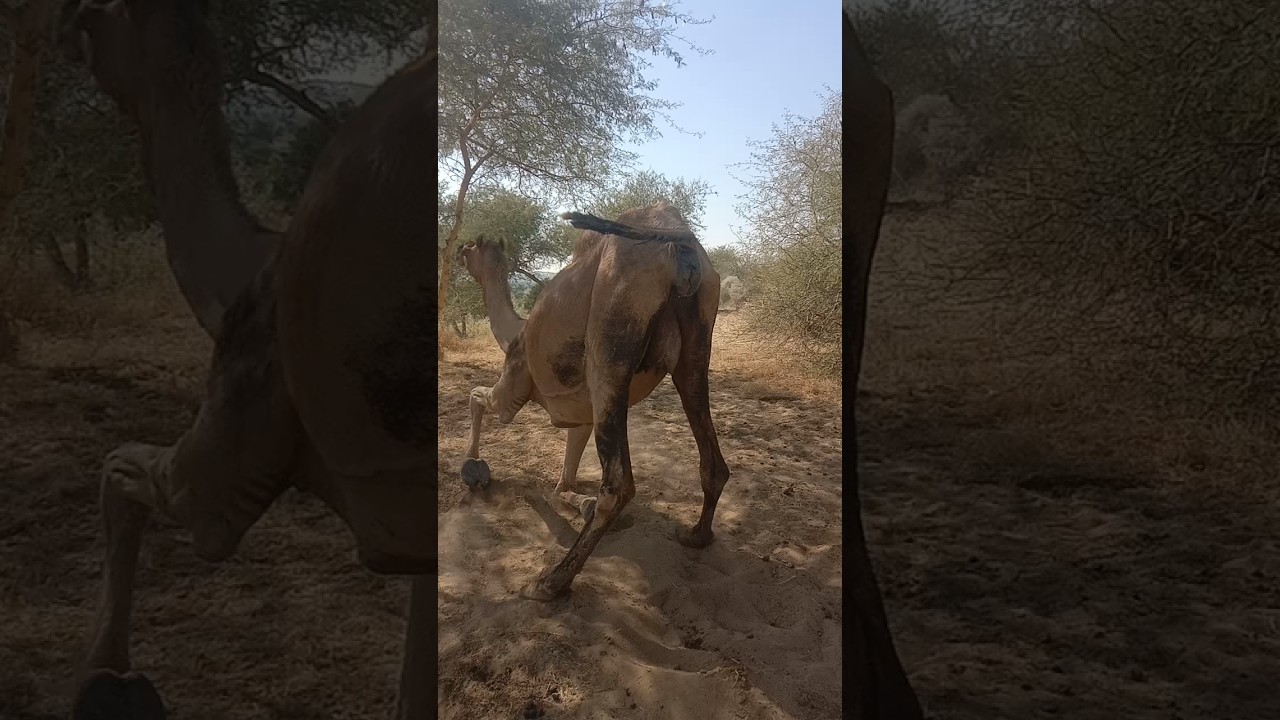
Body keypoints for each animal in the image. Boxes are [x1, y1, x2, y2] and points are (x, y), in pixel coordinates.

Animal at [58, 1, 433, 718]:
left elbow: (126, 476)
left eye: (103, 16)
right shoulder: (413, 524)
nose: (72, 31)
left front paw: (107, 679)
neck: (252, 269)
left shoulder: (234, 440)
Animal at [457, 201, 730, 601]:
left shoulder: (512, 384)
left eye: (470, 249)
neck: (515, 332)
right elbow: (564, 481)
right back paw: (696, 535)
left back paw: (552, 582)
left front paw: (472, 467)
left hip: (610, 342)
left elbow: (477, 397)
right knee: (710, 453)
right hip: (697, 342)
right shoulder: (580, 417)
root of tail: (680, 240)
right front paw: (575, 500)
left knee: (617, 486)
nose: (457, 252)